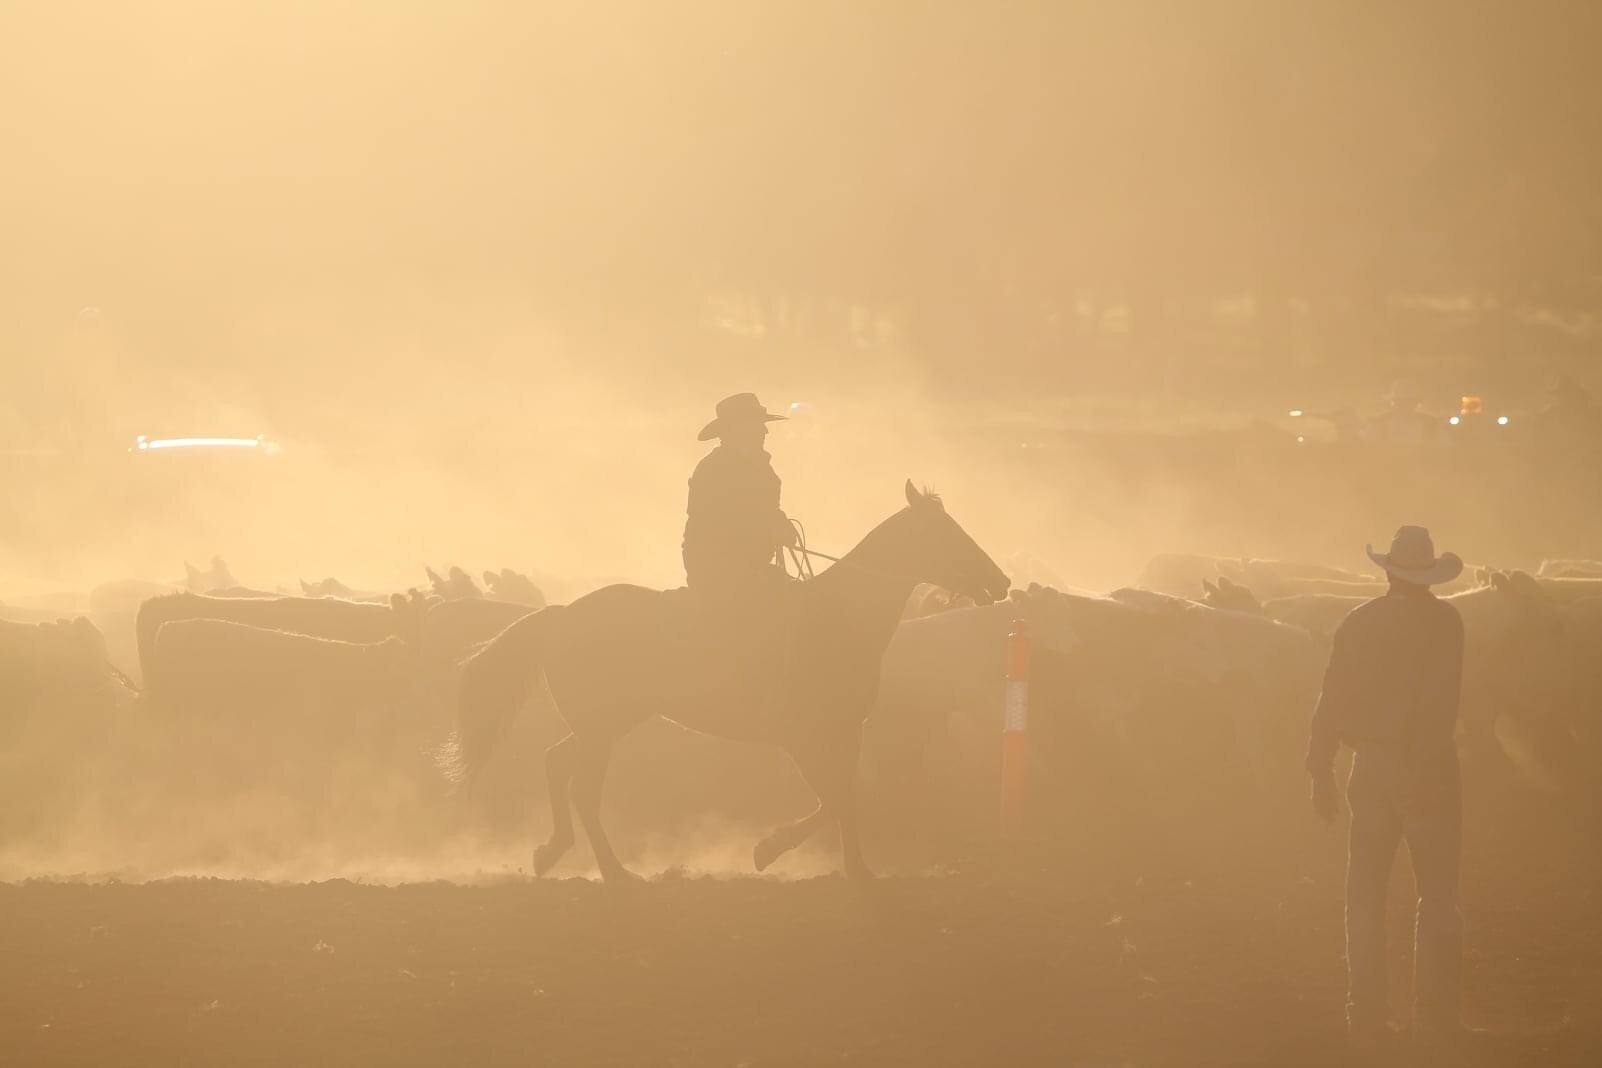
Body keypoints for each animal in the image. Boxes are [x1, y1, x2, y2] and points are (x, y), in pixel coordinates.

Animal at [445, 480, 1006, 883]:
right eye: (948, 534)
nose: (1000, 583)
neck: (833, 618)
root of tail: (560, 615)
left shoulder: (845, 731)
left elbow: (842, 798)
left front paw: (858, 869)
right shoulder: (801, 735)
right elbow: (832, 798)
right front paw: (767, 850)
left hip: (602, 725)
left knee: (557, 763)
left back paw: (552, 852)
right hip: (603, 727)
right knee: (582, 786)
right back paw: (614, 871)